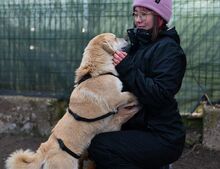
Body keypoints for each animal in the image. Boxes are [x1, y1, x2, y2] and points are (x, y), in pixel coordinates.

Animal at [5, 33, 139, 169]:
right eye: (115, 37)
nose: (127, 37)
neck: (96, 73)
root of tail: (45, 150)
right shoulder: (117, 96)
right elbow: (131, 94)